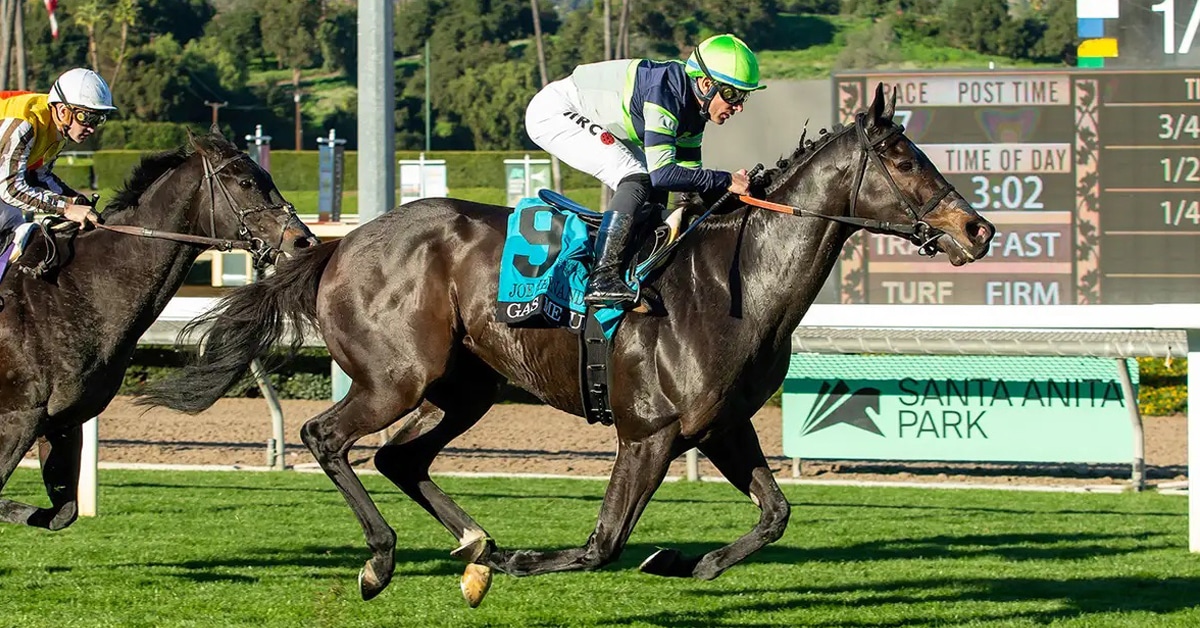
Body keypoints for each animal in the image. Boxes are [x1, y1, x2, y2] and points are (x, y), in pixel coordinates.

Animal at [0, 131, 317, 531]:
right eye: (246, 182)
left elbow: (62, 513)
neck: (71, 288)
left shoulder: (64, 420)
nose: (303, 240)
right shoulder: (19, 415)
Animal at [141, 85, 995, 605]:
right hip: (394, 378)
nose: (977, 228)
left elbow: (775, 515)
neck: (735, 283)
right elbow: (602, 542)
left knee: (399, 458)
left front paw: (685, 559)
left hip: (466, 388)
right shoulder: (648, 432)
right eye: (902, 158)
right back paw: (385, 559)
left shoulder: (722, 426)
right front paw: (535, 562)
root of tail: (337, 244)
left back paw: (476, 543)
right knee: (328, 438)